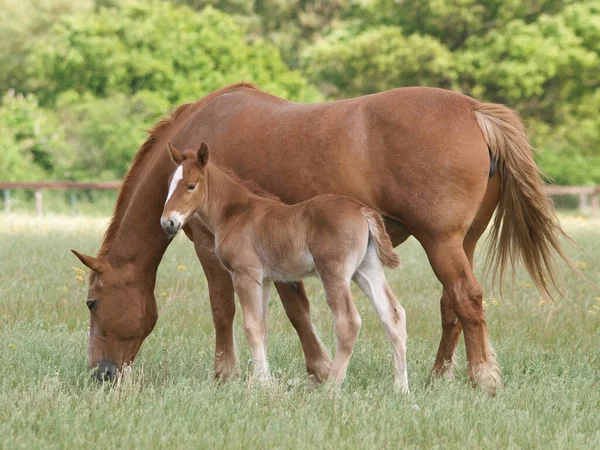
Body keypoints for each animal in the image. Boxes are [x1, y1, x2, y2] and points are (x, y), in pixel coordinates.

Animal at [162, 142, 410, 392]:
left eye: (191, 185)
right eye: (170, 184)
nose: (168, 223)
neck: (235, 213)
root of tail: (361, 210)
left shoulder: (244, 274)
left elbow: (252, 327)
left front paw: (261, 384)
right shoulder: (263, 280)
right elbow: (262, 328)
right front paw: (264, 381)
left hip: (333, 272)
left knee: (348, 322)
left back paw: (330, 388)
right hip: (367, 270)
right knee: (393, 314)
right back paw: (401, 388)